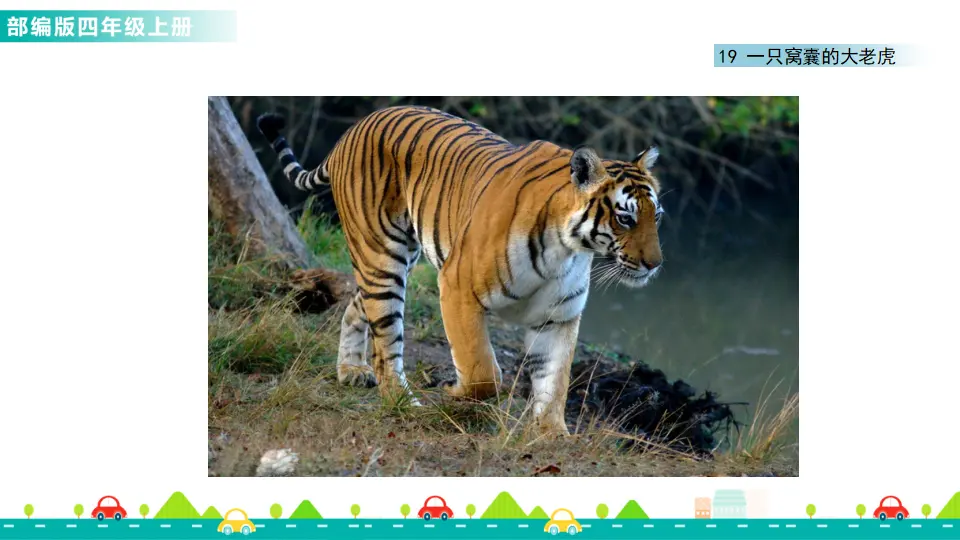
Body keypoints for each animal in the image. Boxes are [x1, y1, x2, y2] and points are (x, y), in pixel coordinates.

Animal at [256, 105, 664, 435]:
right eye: (625, 218)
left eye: (656, 216)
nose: (655, 264)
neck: (567, 248)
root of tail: (354, 129)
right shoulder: (457, 287)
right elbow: (482, 370)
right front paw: (455, 393)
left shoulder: (559, 315)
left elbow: (555, 381)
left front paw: (551, 435)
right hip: (382, 255)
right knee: (386, 345)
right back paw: (403, 402)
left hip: (395, 260)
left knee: (358, 304)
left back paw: (351, 370)